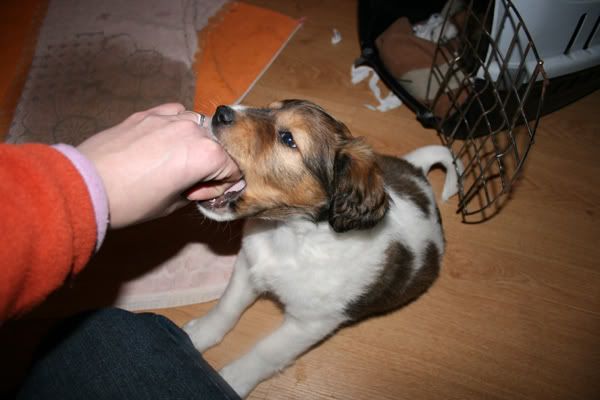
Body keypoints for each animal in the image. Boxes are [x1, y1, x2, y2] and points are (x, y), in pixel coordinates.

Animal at [184, 100, 461, 397]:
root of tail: (419, 175)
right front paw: (199, 334)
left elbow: (266, 352)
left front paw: (231, 380)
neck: (289, 236)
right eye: (268, 108)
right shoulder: (248, 267)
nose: (221, 111)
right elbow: (226, 307)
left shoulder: (310, 323)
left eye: (288, 139)